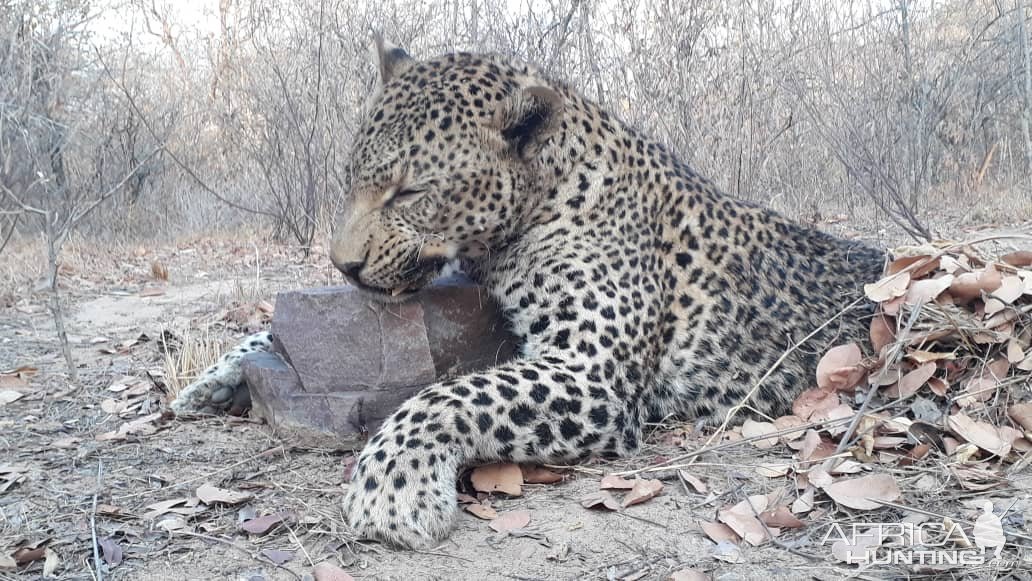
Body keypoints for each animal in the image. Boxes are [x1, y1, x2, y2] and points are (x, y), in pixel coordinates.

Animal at [167, 37, 879, 549]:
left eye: (410, 192)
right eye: (351, 180)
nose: (343, 266)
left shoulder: (594, 373)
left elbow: (451, 393)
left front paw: (391, 491)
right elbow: (264, 333)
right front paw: (212, 383)